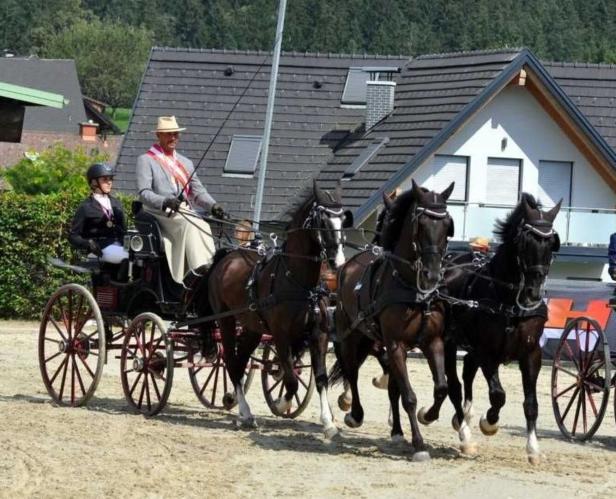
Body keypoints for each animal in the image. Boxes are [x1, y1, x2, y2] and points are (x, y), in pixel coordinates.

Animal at [207, 181, 352, 438]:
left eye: (342, 220)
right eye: (322, 222)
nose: (338, 261)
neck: (300, 283)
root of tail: (226, 257)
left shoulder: (319, 335)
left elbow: (320, 378)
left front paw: (329, 423)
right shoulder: (281, 335)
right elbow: (291, 378)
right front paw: (282, 404)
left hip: (253, 328)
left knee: (241, 362)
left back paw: (243, 411)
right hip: (226, 321)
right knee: (232, 363)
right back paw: (245, 412)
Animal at [330, 180, 454, 460]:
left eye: (446, 225)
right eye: (420, 224)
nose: (432, 274)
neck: (413, 289)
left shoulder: (432, 342)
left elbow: (441, 387)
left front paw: (426, 416)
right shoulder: (395, 344)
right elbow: (408, 395)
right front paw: (419, 444)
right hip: (350, 335)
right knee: (351, 372)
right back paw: (355, 414)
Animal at [438, 192, 564, 464]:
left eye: (552, 244)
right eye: (524, 242)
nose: (533, 292)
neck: (509, 300)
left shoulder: (531, 354)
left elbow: (531, 404)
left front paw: (533, 449)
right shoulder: (488, 352)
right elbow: (498, 395)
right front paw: (489, 422)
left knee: (467, 373)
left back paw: (464, 416)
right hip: (450, 343)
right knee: (455, 387)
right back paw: (465, 434)